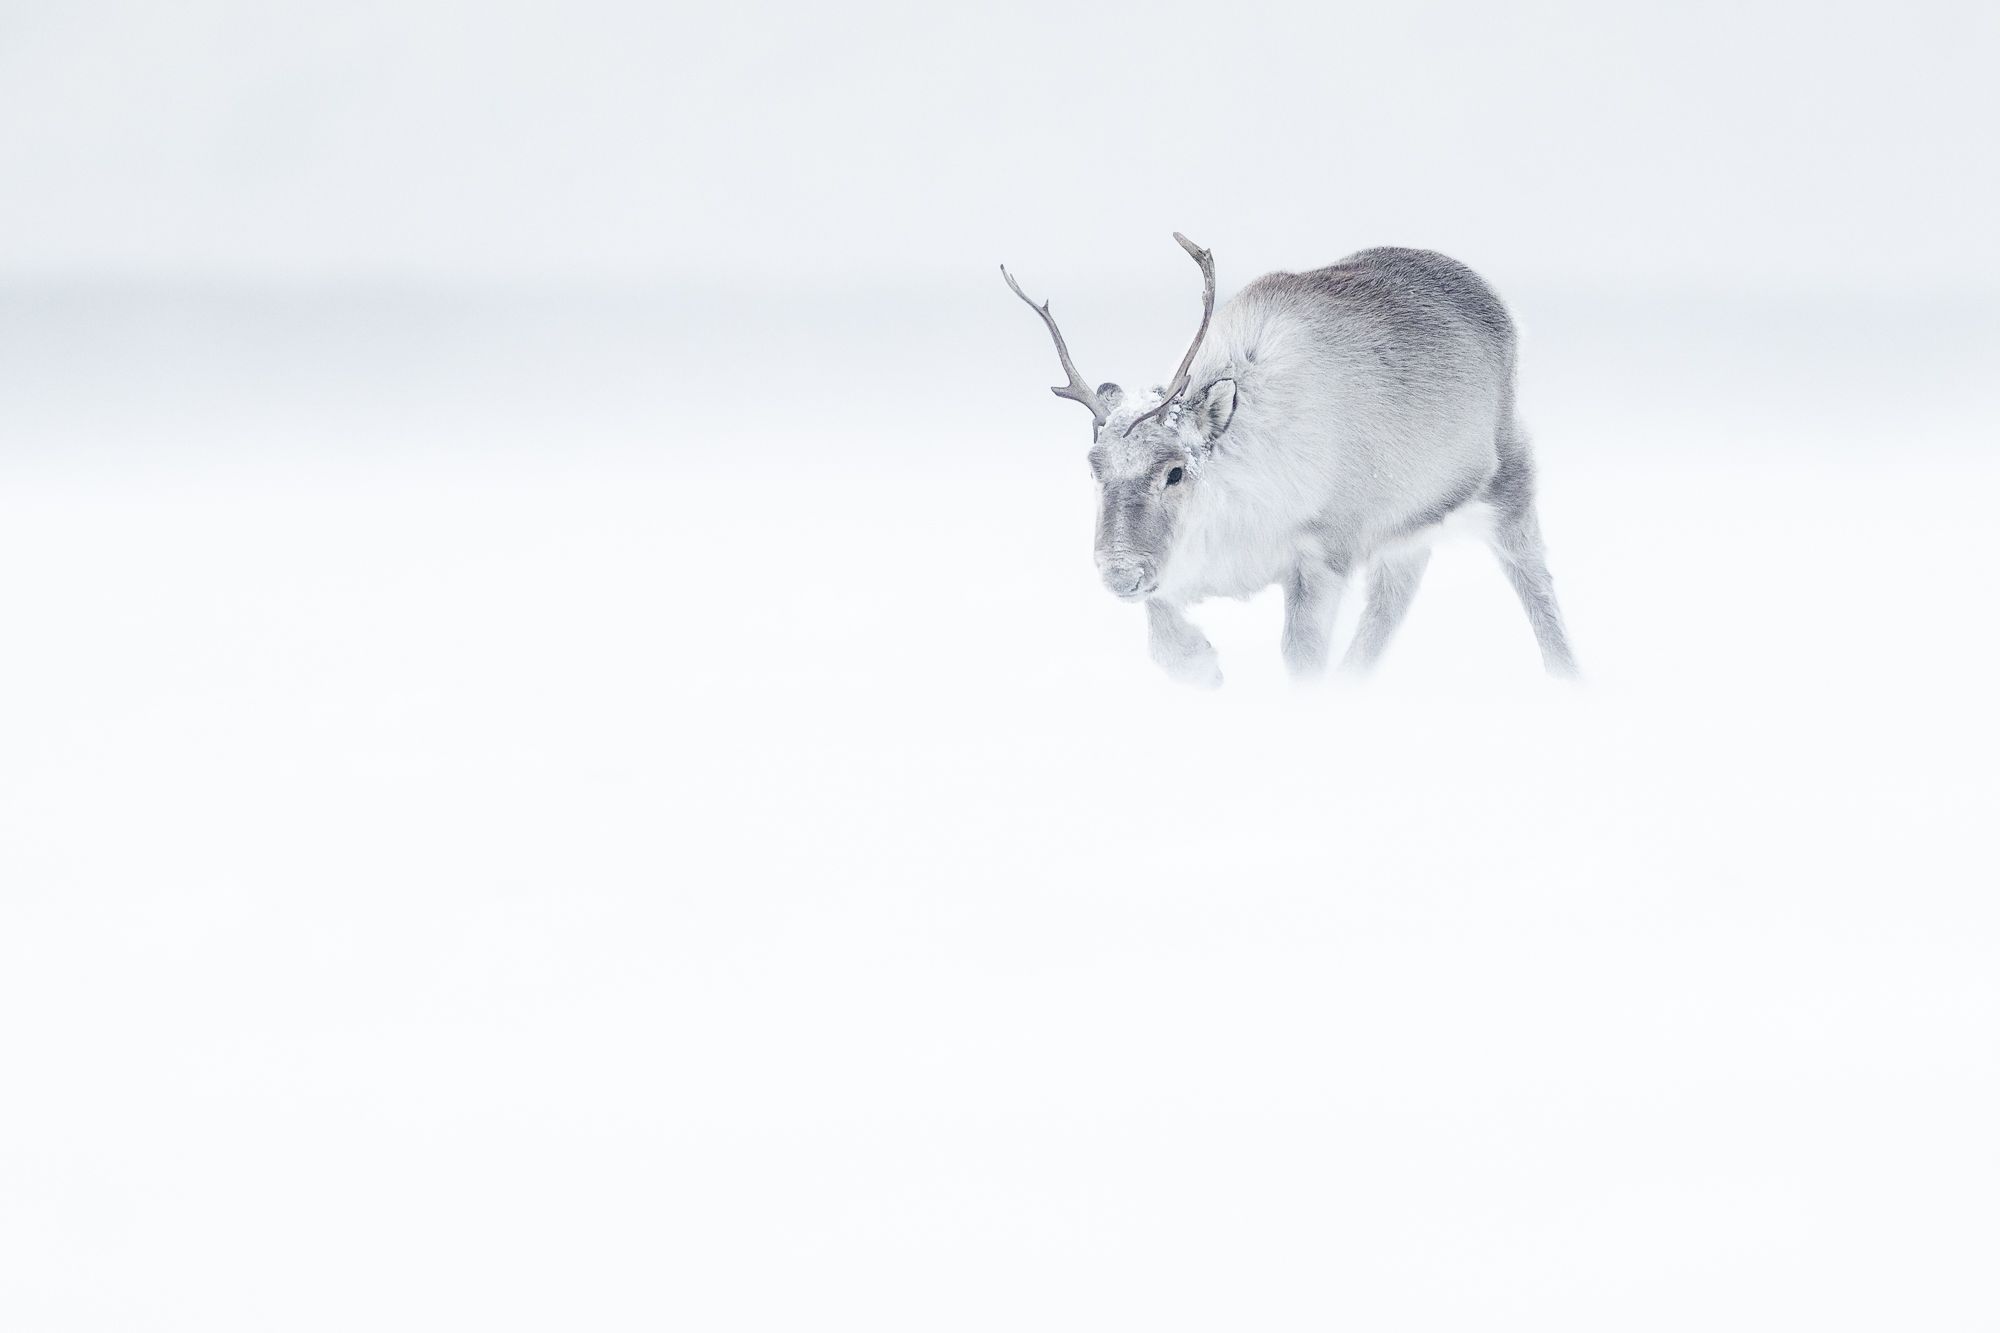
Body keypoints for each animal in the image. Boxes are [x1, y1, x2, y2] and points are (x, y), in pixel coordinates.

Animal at [1002, 233, 1578, 687]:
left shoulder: (1324, 551)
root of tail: (1495, 298)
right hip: (1406, 525)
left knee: (1533, 579)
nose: (1119, 573)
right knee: (1395, 594)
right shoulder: (1183, 569)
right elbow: (1164, 633)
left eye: (1175, 471)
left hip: (1507, 480)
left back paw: (1567, 674)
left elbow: (1301, 659)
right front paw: (1204, 667)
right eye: (1093, 466)